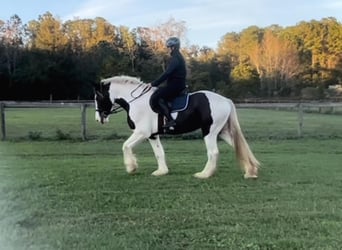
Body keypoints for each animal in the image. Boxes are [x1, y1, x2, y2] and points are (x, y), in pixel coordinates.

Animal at [94, 75, 260, 179]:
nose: (99, 119)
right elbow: (159, 153)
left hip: (209, 132)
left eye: (98, 97)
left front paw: (131, 167)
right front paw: (161, 171)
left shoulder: (142, 132)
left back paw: (204, 174)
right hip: (222, 132)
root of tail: (226, 100)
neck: (135, 101)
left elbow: (126, 146)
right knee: (239, 147)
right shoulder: (152, 135)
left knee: (213, 152)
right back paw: (250, 171)